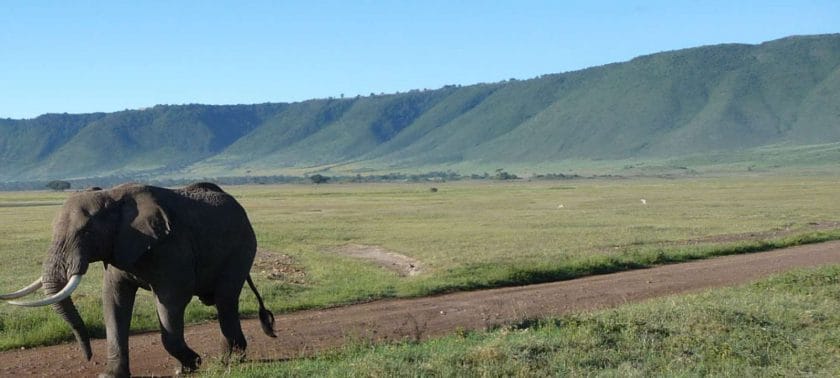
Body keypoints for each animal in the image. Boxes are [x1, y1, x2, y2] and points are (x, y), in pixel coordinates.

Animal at [0, 182, 276, 376]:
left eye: (86, 232)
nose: (88, 357)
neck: (112, 197)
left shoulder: (171, 247)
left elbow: (171, 301)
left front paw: (190, 365)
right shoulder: (118, 246)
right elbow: (114, 299)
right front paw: (109, 375)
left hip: (242, 248)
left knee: (226, 299)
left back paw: (230, 361)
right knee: (224, 302)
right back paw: (229, 358)